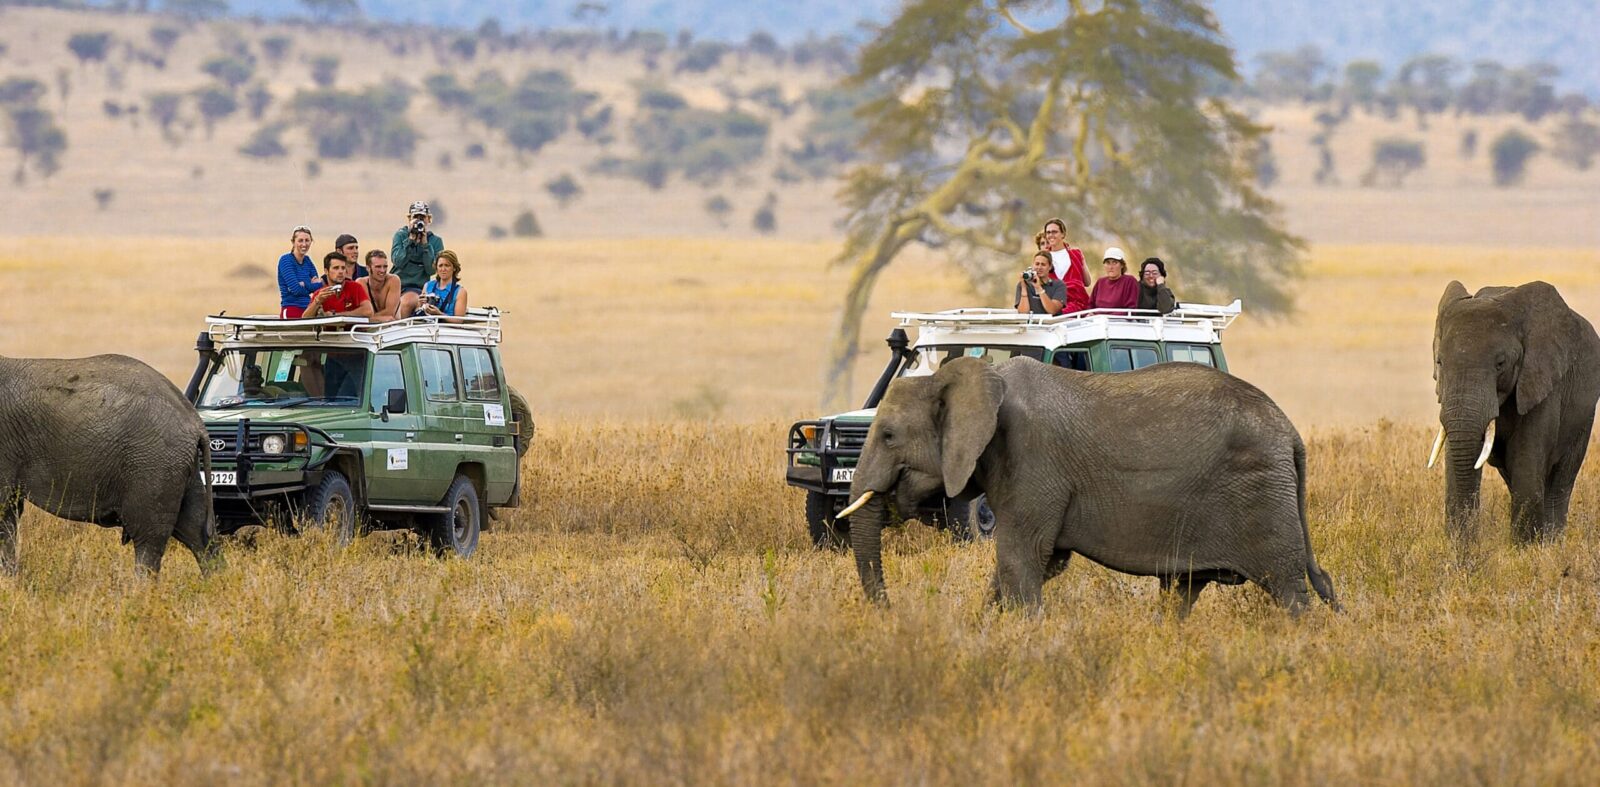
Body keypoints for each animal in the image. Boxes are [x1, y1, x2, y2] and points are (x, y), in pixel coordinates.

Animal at [0, 353, 222, 575]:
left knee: (149, 538)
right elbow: (8, 515)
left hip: (154, 465)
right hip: (181, 469)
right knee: (196, 530)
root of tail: (196, 422)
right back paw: (215, 579)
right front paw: (10, 578)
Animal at [1427, 279, 1600, 543]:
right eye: (1440, 362)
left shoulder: (1542, 380)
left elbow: (1527, 466)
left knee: (1561, 479)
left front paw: (1525, 551)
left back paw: (1553, 543)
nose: (1466, 547)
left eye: (1500, 364)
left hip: (1584, 415)